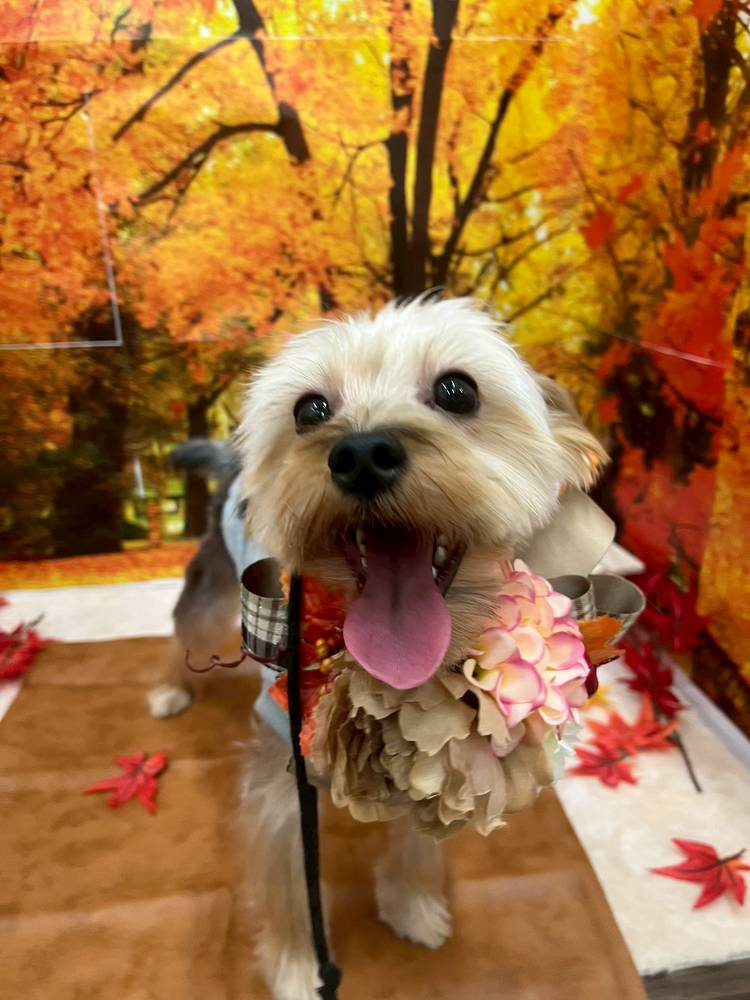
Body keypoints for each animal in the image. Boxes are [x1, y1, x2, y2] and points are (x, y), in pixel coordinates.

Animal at [149, 296, 606, 999]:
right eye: (309, 409)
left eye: (457, 390)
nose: (361, 452)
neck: (395, 678)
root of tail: (232, 463)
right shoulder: (283, 779)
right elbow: (289, 889)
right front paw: (297, 969)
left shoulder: (442, 752)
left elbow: (418, 847)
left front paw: (412, 908)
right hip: (216, 584)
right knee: (186, 628)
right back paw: (172, 689)